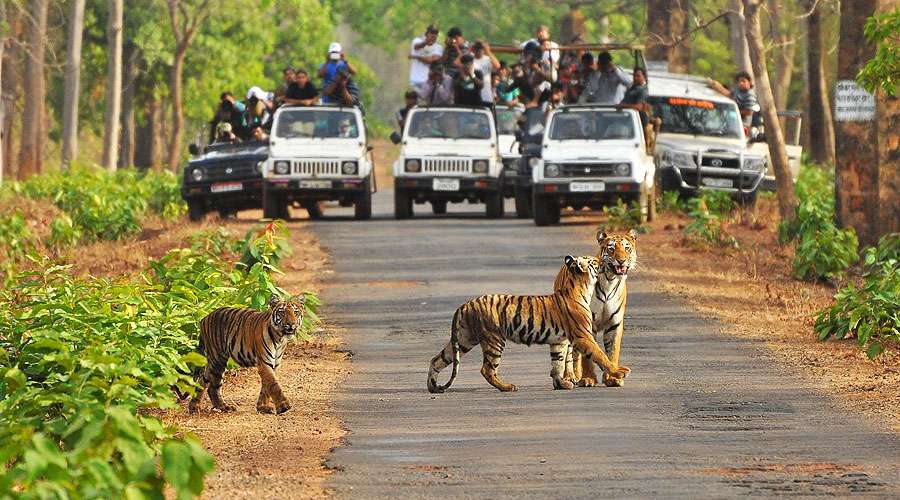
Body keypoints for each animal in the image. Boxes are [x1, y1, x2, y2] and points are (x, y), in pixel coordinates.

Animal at [427, 255, 631, 393]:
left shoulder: (559, 341)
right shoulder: (583, 336)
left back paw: (433, 387)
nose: (604, 260)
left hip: (464, 339)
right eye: (594, 261)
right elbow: (600, 355)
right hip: (494, 339)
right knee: (487, 369)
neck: (581, 287)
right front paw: (620, 372)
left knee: (437, 359)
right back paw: (508, 387)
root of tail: (465, 305)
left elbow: (557, 363)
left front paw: (561, 384)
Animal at [570, 229, 637, 388]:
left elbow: (612, 352)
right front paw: (588, 378)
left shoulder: (615, 324)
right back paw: (574, 376)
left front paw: (612, 378)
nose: (621, 260)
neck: (610, 280)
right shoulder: (587, 324)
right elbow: (587, 356)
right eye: (611, 249)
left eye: (627, 248)